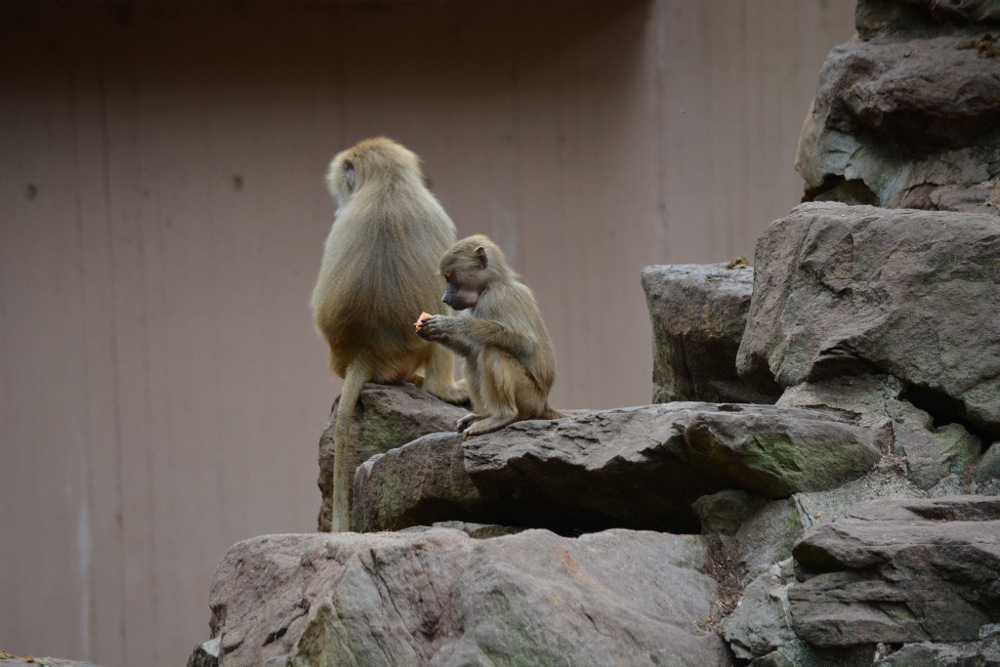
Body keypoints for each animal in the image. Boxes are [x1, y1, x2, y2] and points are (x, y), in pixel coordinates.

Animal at [416, 235, 569, 438]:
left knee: (492, 352)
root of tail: (544, 403)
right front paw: (433, 334)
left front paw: (448, 324)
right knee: (472, 359)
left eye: (450, 277)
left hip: (529, 397)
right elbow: (469, 348)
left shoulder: (497, 297)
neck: (491, 283)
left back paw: (501, 417)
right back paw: (484, 416)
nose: (444, 298)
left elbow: (525, 342)